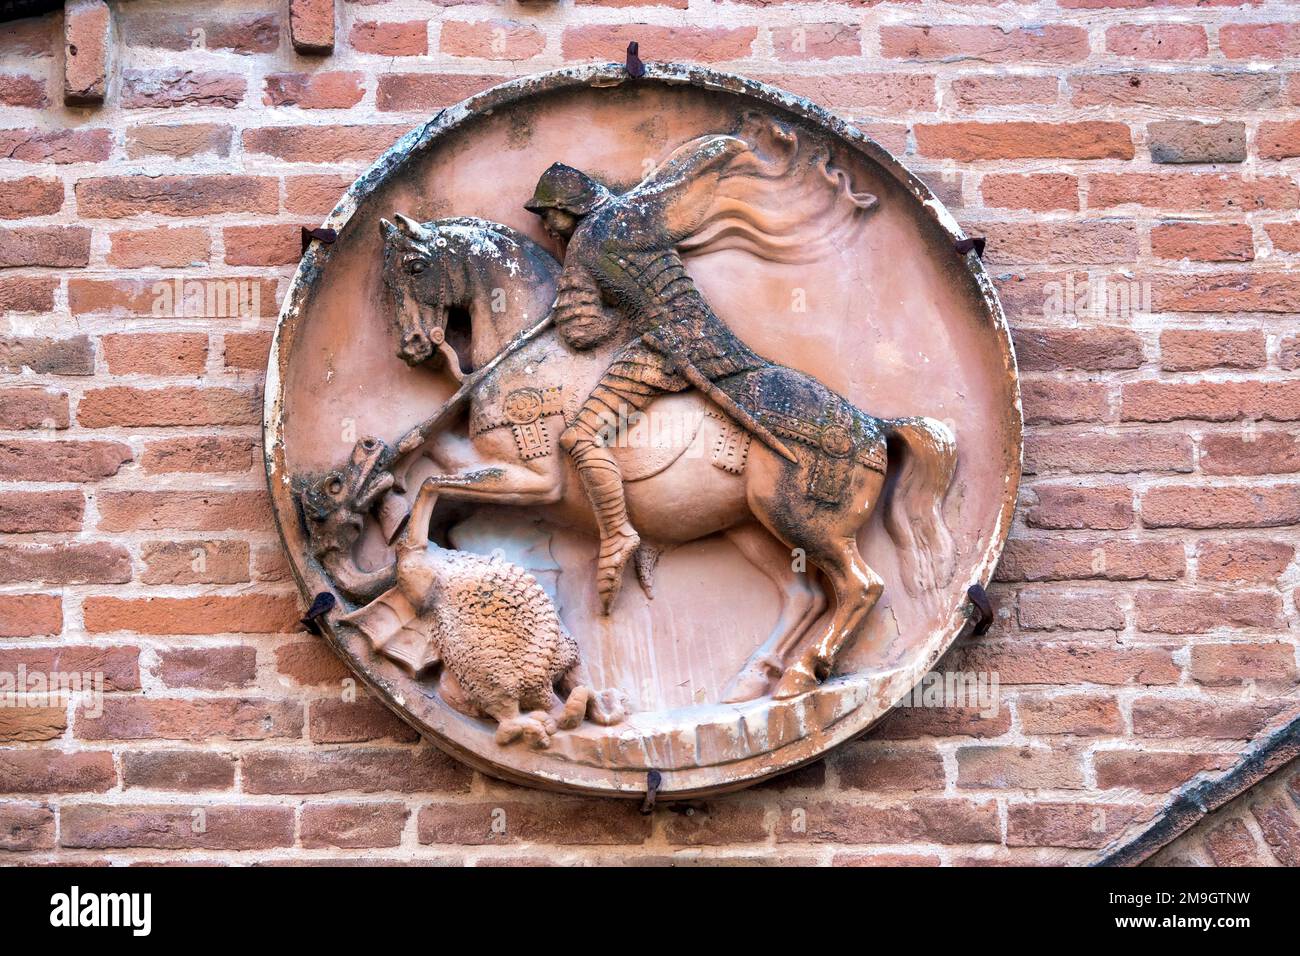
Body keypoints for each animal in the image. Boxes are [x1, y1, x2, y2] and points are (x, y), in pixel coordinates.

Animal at [377, 213, 956, 697]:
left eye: (414, 266)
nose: (411, 347)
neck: (535, 352)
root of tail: (875, 427)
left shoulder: (536, 479)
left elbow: (433, 483)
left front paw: (410, 558)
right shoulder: (491, 462)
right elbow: (432, 464)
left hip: (803, 523)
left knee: (861, 586)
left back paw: (800, 675)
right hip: (751, 528)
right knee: (805, 596)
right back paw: (753, 681)